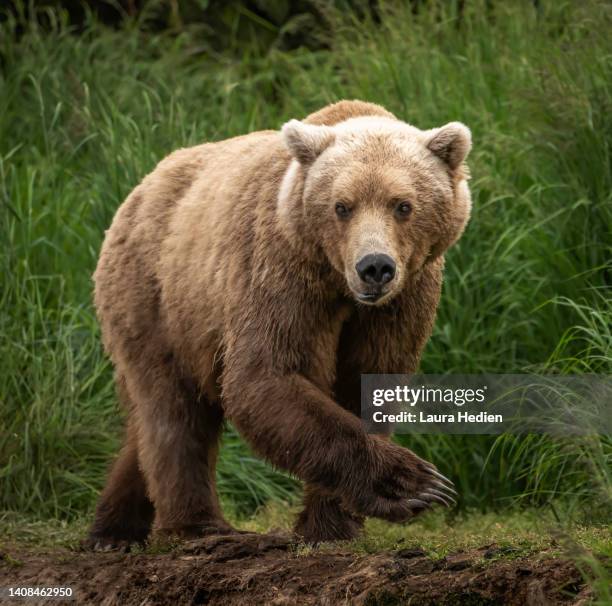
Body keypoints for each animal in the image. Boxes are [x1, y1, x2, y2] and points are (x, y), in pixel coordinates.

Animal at [87, 101, 468, 552]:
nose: (375, 267)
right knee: (174, 412)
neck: (337, 283)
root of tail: (139, 189)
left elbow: (366, 382)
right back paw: (198, 526)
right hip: (158, 297)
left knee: (147, 425)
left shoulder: (402, 299)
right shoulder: (281, 271)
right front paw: (416, 485)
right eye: (342, 206)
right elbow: (268, 373)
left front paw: (332, 525)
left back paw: (113, 529)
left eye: (403, 205)